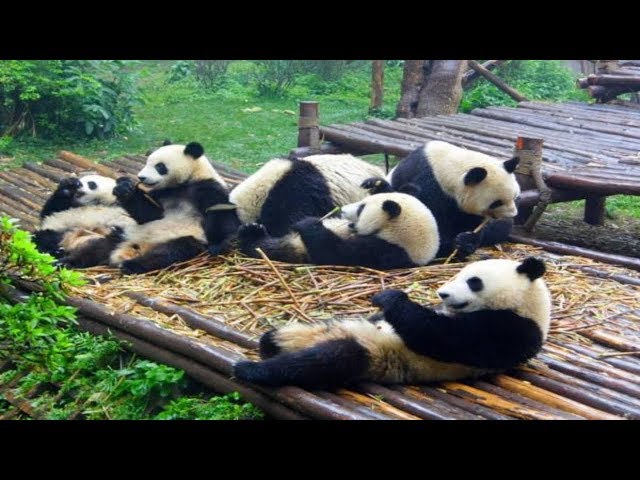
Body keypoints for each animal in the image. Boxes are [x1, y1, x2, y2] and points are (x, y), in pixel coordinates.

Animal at [110, 141, 236, 274]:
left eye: (160, 166)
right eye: (147, 161)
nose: (141, 177)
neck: (184, 182)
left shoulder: (206, 186)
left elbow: (220, 212)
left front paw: (217, 245)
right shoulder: (162, 192)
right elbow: (149, 215)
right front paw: (125, 188)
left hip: (182, 237)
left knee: (169, 252)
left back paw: (131, 265)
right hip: (125, 233)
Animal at [234, 257, 551, 388]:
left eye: (474, 281)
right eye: (459, 274)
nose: (443, 293)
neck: (528, 305)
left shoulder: (512, 331)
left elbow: (443, 337)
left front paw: (389, 298)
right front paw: (381, 307)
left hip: (374, 355)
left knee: (325, 360)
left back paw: (253, 369)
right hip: (320, 329)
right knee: (284, 337)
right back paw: (269, 345)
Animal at [237, 192, 440, 270]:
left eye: (361, 208)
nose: (342, 210)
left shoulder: (383, 251)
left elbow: (333, 253)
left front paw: (308, 223)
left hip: (295, 250)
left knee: (273, 248)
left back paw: (250, 236)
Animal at [363, 141, 521, 259]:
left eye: (515, 196)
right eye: (497, 202)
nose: (512, 214)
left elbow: (470, 223)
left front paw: (466, 242)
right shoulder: (429, 183)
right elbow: (432, 218)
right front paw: (451, 246)